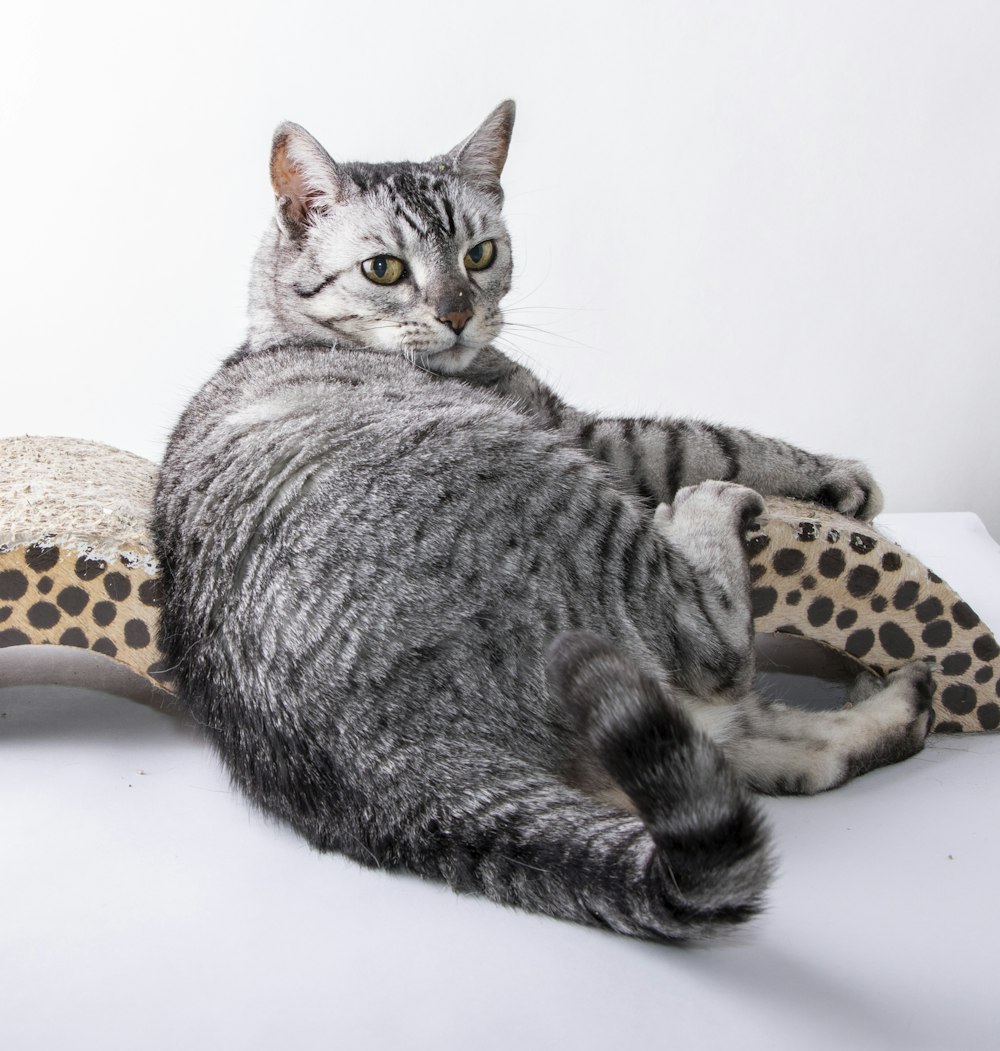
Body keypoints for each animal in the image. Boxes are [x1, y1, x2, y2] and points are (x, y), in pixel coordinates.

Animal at [152, 100, 933, 945]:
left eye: (481, 253)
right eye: (384, 269)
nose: (458, 314)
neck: (278, 330)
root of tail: (393, 770)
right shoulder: (592, 435)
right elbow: (707, 437)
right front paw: (832, 471)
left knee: (780, 752)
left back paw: (902, 701)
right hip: (579, 510)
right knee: (718, 648)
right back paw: (711, 512)